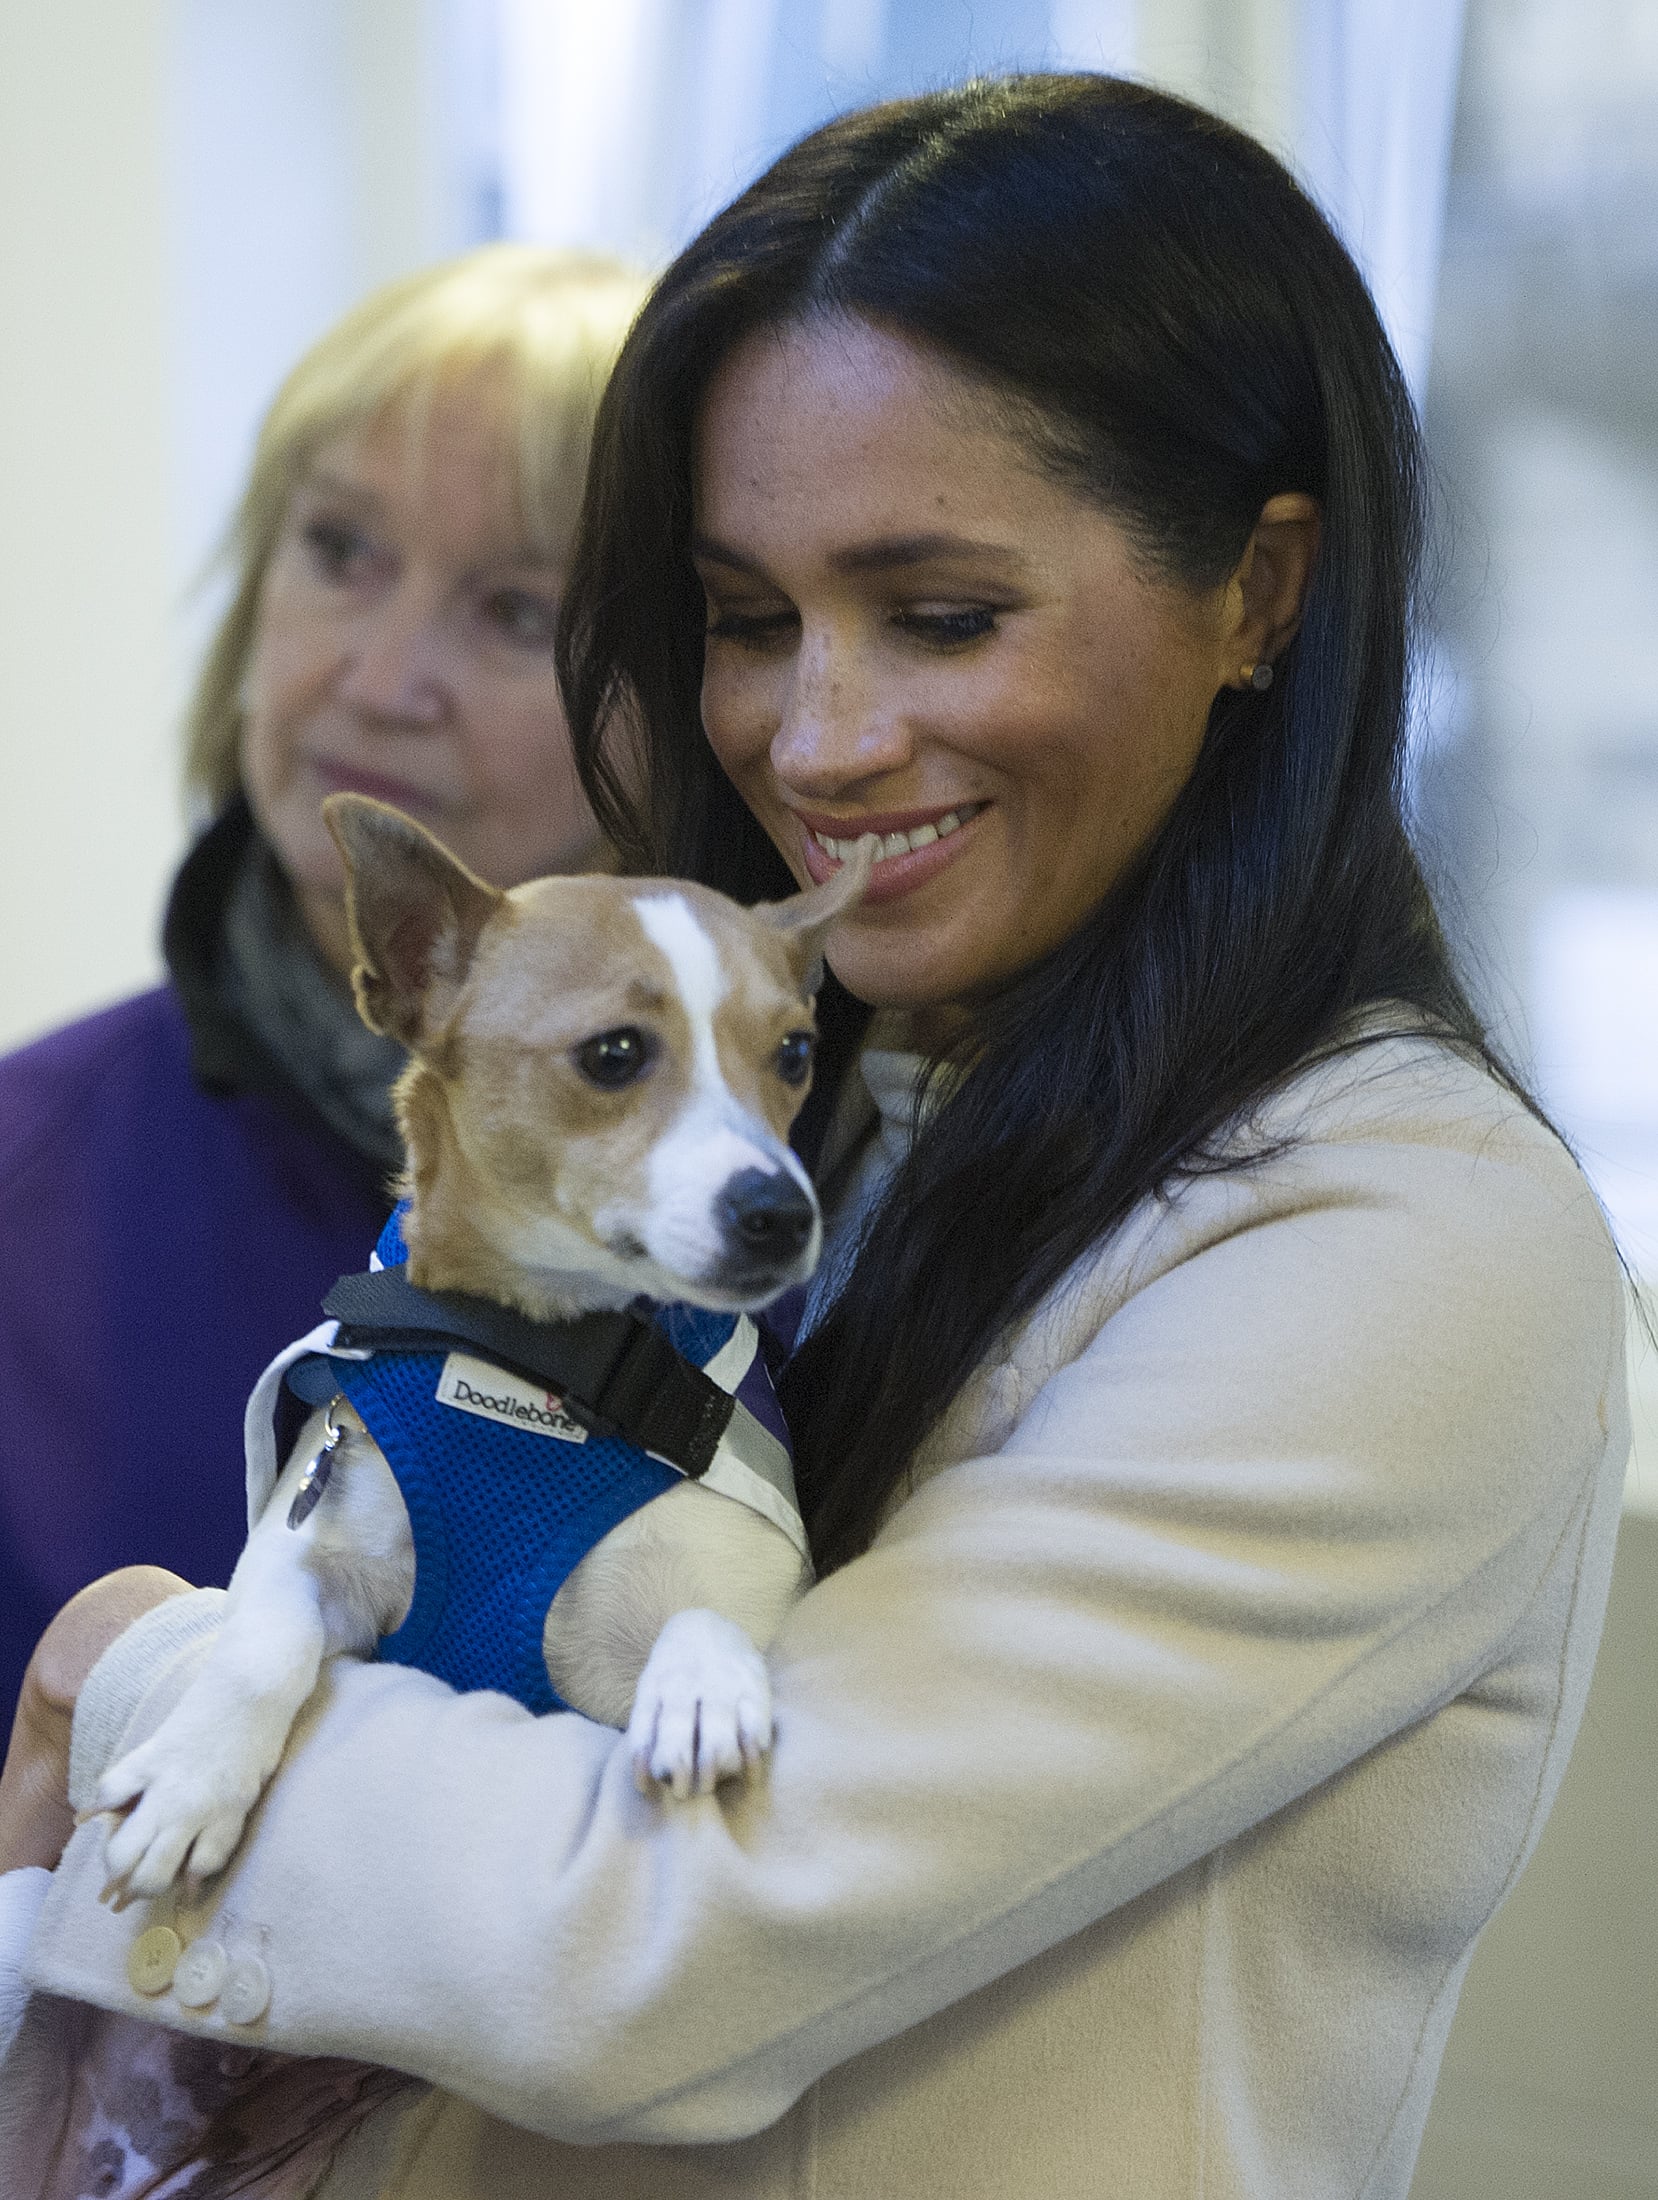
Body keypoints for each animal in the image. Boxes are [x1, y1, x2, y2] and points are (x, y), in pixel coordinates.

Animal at [91, 800, 870, 1900]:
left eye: (794, 1054)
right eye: (615, 1053)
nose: (780, 1212)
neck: (544, 1362)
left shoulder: (749, 1596)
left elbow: (711, 1617)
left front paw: (702, 1687)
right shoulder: (306, 1550)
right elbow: (260, 1643)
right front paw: (191, 1780)